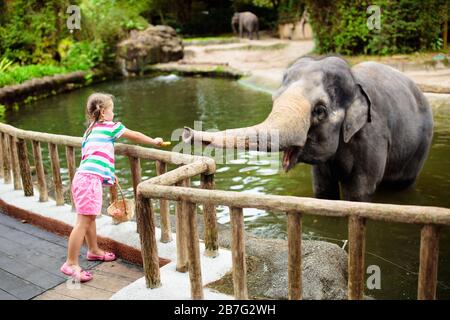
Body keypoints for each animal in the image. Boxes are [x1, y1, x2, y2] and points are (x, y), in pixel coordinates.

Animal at [184, 54, 436, 200]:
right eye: (274, 98)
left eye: (320, 111)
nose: (187, 132)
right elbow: (323, 190)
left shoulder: (372, 137)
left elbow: (359, 191)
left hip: (421, 145)